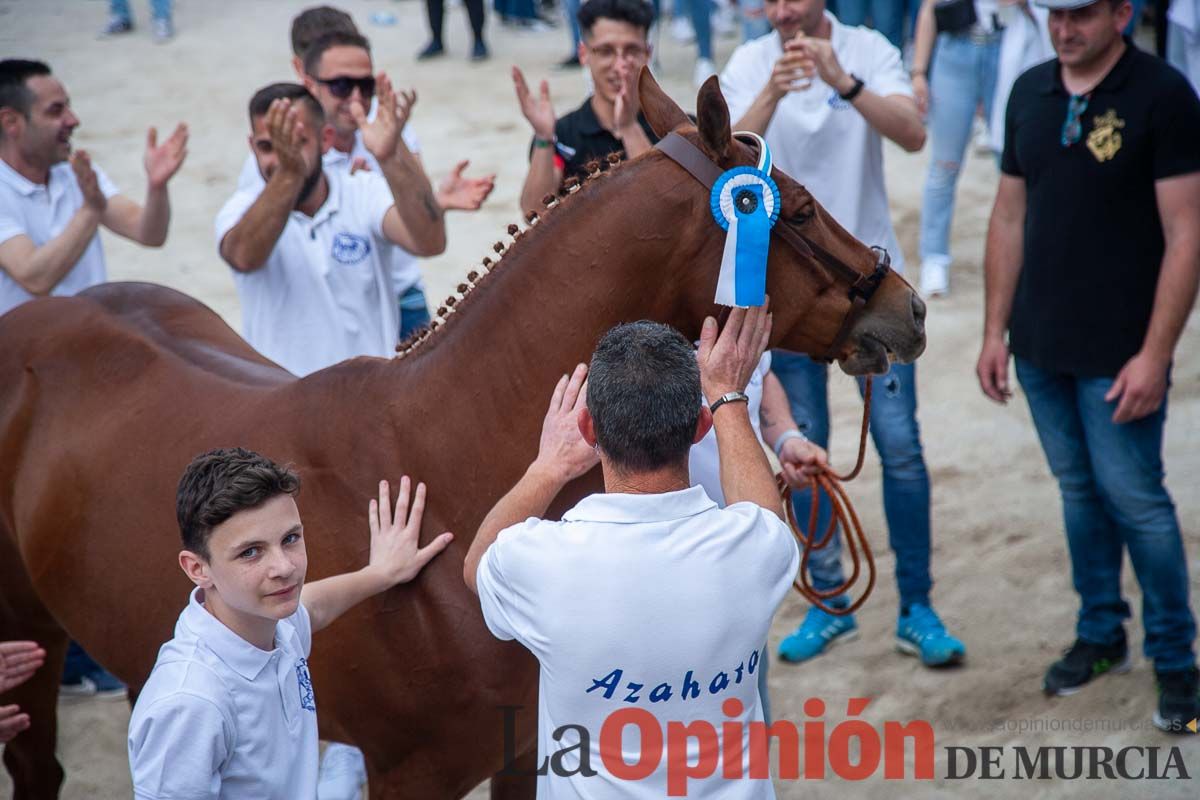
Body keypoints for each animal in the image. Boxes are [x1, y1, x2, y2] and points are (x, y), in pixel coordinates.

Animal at [0, 73, 926, 796]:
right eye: (794, 208)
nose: (908, 307)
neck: (442, 468)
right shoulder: (411, 774)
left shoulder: (522, 748)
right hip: (30, 645)